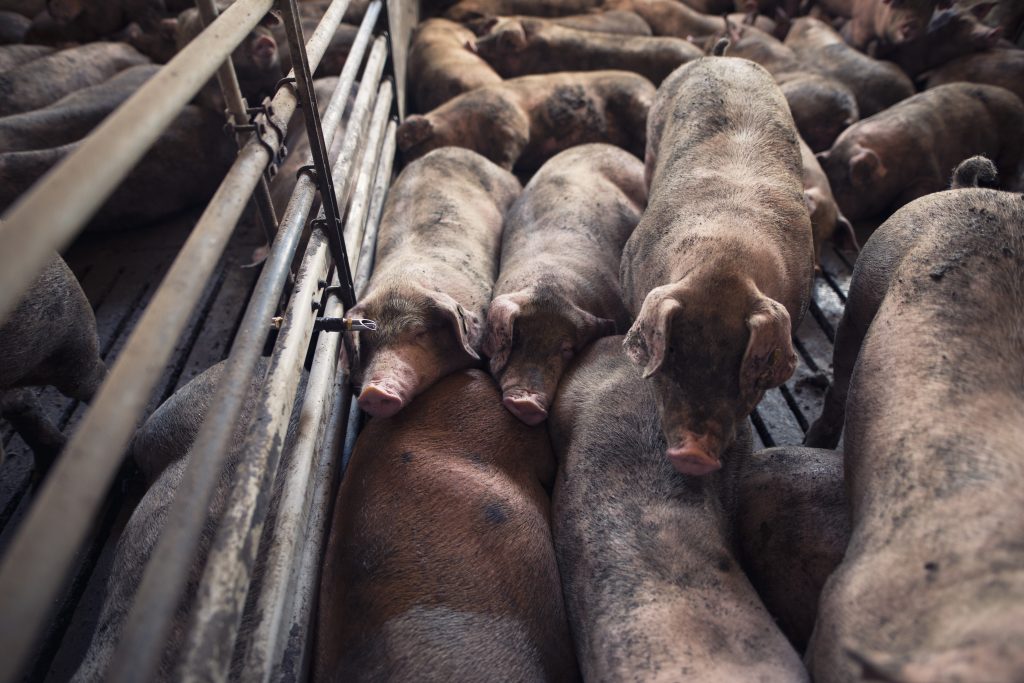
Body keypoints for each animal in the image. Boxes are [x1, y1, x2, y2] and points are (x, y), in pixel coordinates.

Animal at [397, 70, 654, 172]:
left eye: (415, 146)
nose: (405, 164)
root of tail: (650, 84)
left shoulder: (507, 117)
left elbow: (510, 147)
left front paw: (502, 169)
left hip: (632, 94)